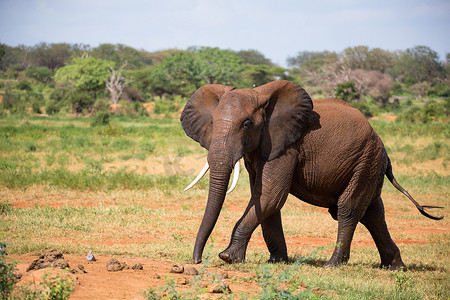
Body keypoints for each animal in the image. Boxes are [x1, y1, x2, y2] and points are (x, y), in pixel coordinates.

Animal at [178, 79, 440, 270]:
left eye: (246, 124)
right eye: (212, 122)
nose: (197, 260)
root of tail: (383, 151)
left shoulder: (287, 145)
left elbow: (271, 195)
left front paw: (227, 257)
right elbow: (265, 200)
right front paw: (277, 262)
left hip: (366, 160)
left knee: (348, 208)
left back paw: (332, 265)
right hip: (368, 164)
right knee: (373, 212)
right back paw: (395, 267)